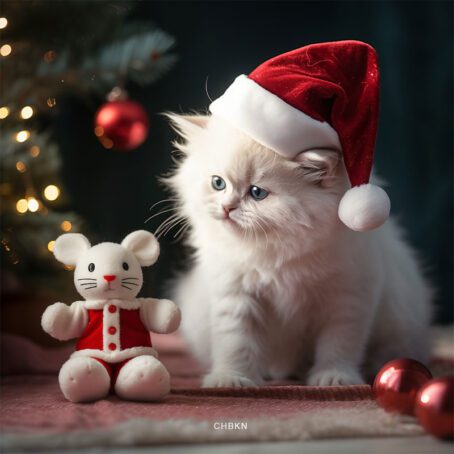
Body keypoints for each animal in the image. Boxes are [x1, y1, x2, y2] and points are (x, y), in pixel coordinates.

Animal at [160, 112, 432, 386]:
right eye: (218, 183)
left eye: (257, 193)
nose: (227, 208)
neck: (276, 252)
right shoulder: (234, 294)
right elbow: (236, 343)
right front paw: (232, 378)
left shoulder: (348, 297)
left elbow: (339, 346)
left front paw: (334, 378)